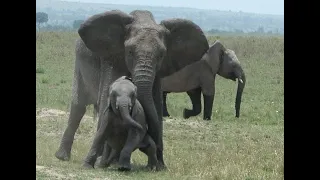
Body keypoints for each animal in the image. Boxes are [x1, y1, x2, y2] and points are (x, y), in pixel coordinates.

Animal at [54, 9, 210, 169]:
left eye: (161, 55)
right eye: (129, 52)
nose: (158, 155)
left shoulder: (158, 75)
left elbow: (156, 106)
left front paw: (160, 166)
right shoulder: (113, 59)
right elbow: (106, 100)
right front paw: (101, 162)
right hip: (79, 65)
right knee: (78, 106)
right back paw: (63, 157)